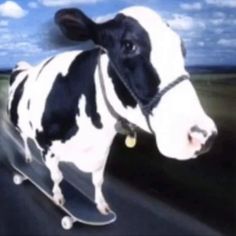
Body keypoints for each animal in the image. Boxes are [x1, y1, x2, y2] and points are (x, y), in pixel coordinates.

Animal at [7, 6, 218, 216]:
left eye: (182, 47)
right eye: (129, 45)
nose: (203, 135)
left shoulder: (102, 151)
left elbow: (98, 180)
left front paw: (102, 206)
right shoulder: (47, 147)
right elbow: (57, 176)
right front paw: (58, 198)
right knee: (24, 138)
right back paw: (26, 159)